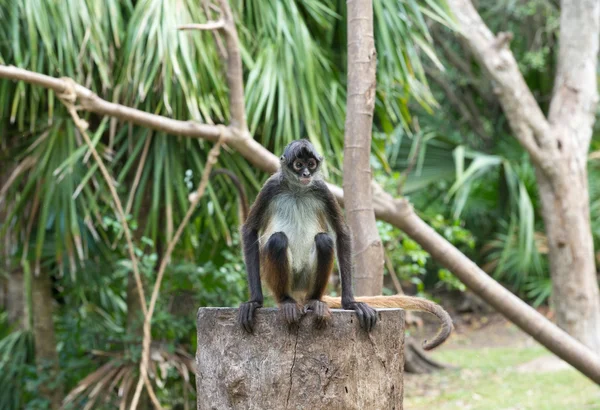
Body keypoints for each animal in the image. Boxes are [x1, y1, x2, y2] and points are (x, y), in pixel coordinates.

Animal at [213, 140, 452, 350]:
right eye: (298, 165)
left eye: (311, 164)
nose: (306, 174)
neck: (298, 190)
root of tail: (299, 294)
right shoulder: (271, 186)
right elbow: (249, 230)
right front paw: (254, 302)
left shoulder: (321, 189)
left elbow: (341, 232)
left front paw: (351, 303)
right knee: (278, 240)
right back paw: (286, 302)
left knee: (324, 240)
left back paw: (314, 302)